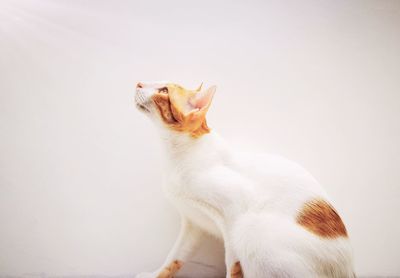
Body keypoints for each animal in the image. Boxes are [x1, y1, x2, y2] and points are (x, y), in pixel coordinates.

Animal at [134, 82, 354, 278]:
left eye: (164, 90)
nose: (138, 83)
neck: (176, 156)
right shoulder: (194, 223)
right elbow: (175, 256)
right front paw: (154, 275)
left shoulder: (235, 209)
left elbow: (232, 263)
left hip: (251, 229)